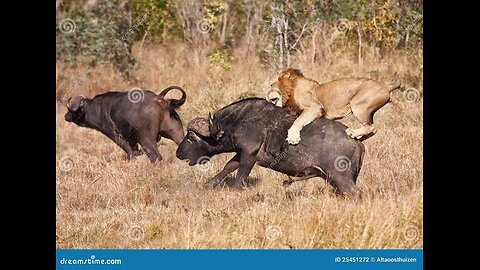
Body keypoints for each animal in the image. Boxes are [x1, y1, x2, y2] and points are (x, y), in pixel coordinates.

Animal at [176, 97, 364, 196]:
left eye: (191, 137)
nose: (178, 153)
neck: (237, 121)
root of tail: (357, 142)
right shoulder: (240, 153)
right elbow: (228, 166)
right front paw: (210, 183)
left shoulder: (249, 155)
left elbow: (240, 175)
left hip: (341, 179)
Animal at [266, 68, 402, 144]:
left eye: (271, 85)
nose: (266, 95)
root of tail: (386, 86)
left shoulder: (315, 108)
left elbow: (298, 121)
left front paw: (293, 137)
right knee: (371, 128)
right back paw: (357, 135)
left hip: (358, 105)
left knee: (372, 128)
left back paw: (353, 133)